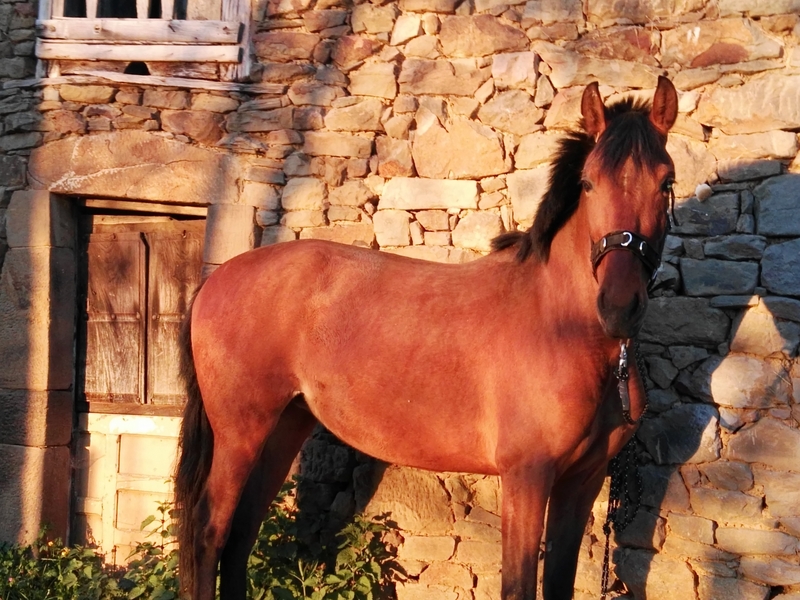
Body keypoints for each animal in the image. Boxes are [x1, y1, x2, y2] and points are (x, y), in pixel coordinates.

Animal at [175, 76, 678, 600]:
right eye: (588, 182)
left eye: (666, 182)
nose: (619, 306)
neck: (565, 330)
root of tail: (217, 278)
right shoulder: (527, 477)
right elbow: (518, 585)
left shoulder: (583, 481)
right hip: (240, 432)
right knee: (210, 533)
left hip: (284, 425)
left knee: (241, 535)